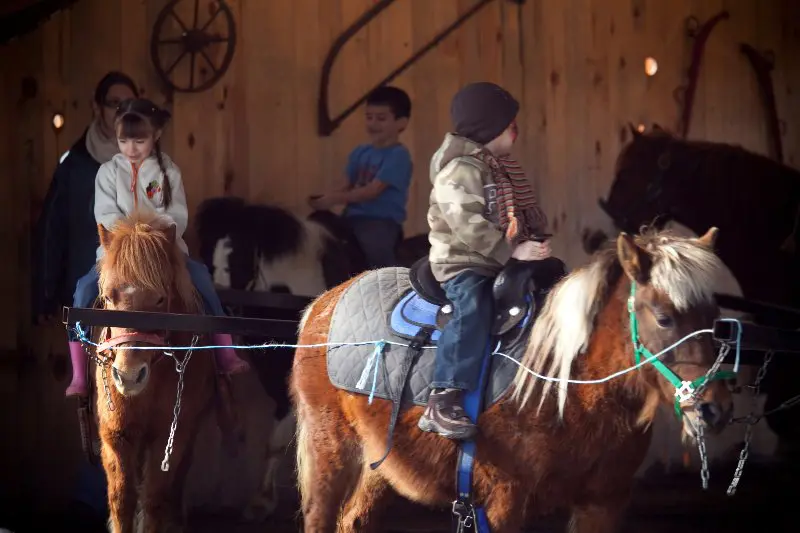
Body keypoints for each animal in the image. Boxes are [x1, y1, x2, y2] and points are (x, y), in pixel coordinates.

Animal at [290, 227, 736, 528]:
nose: (714, 409)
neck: (565, 386)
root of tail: (323, 303)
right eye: (664, 317)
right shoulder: (503, 502)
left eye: (715, 317)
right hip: (329, 448)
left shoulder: (605, 502)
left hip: (377, 464)